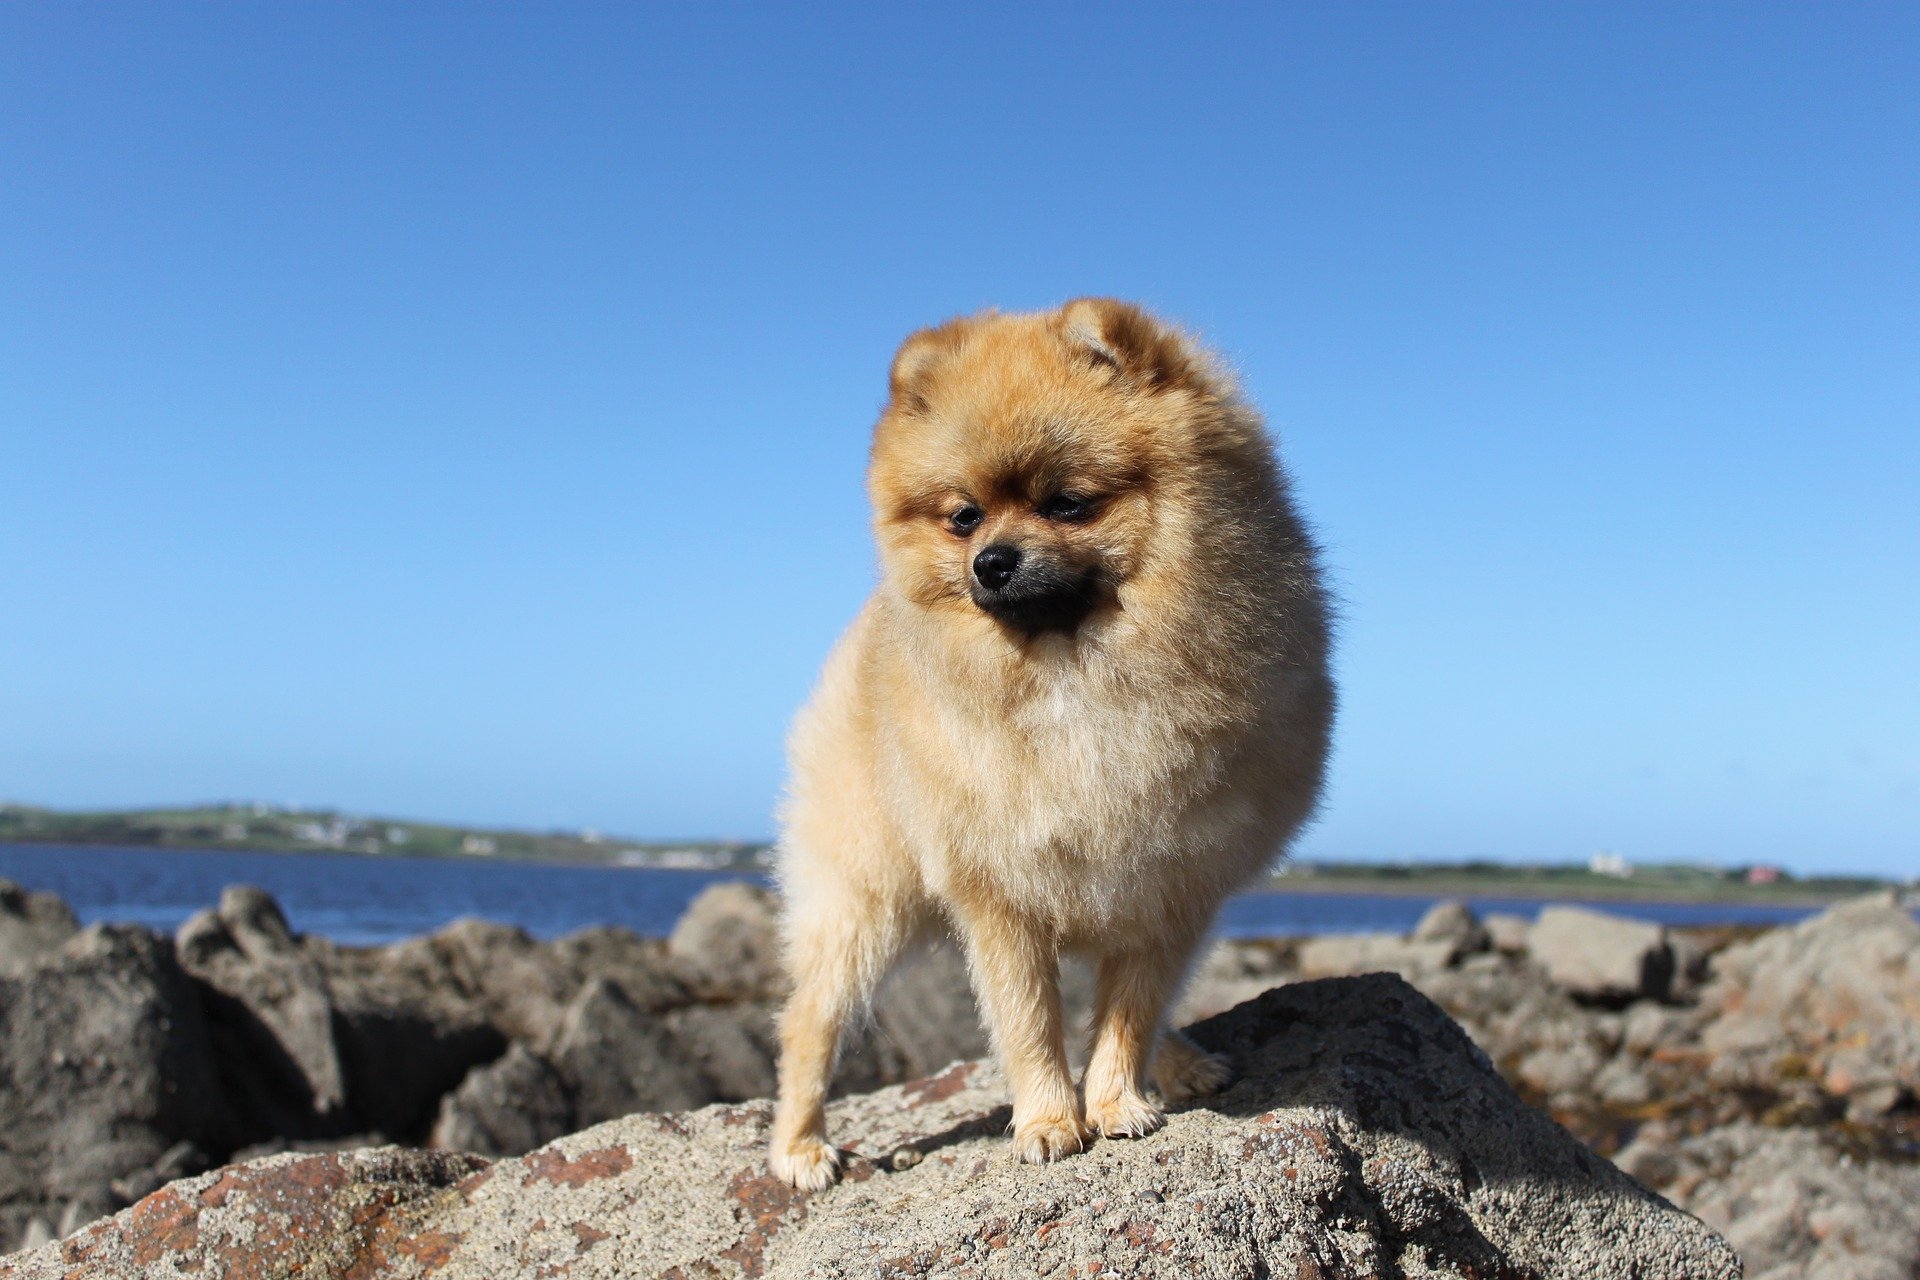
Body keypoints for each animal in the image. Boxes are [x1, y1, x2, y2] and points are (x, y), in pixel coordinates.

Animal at [764, 301, 1336, 1189]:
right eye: (963, 515)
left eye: (1068, 503)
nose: (991, 562)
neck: (1075, 679)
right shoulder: (1001, 894)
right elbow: (1030, 1020)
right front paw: (1048, 1121)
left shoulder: (1170, 888)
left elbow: (1131, 1009)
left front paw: (1116, 1100)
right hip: (865, 896)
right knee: (810, 1018)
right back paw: (799, 1146)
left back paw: (1178, 1061)